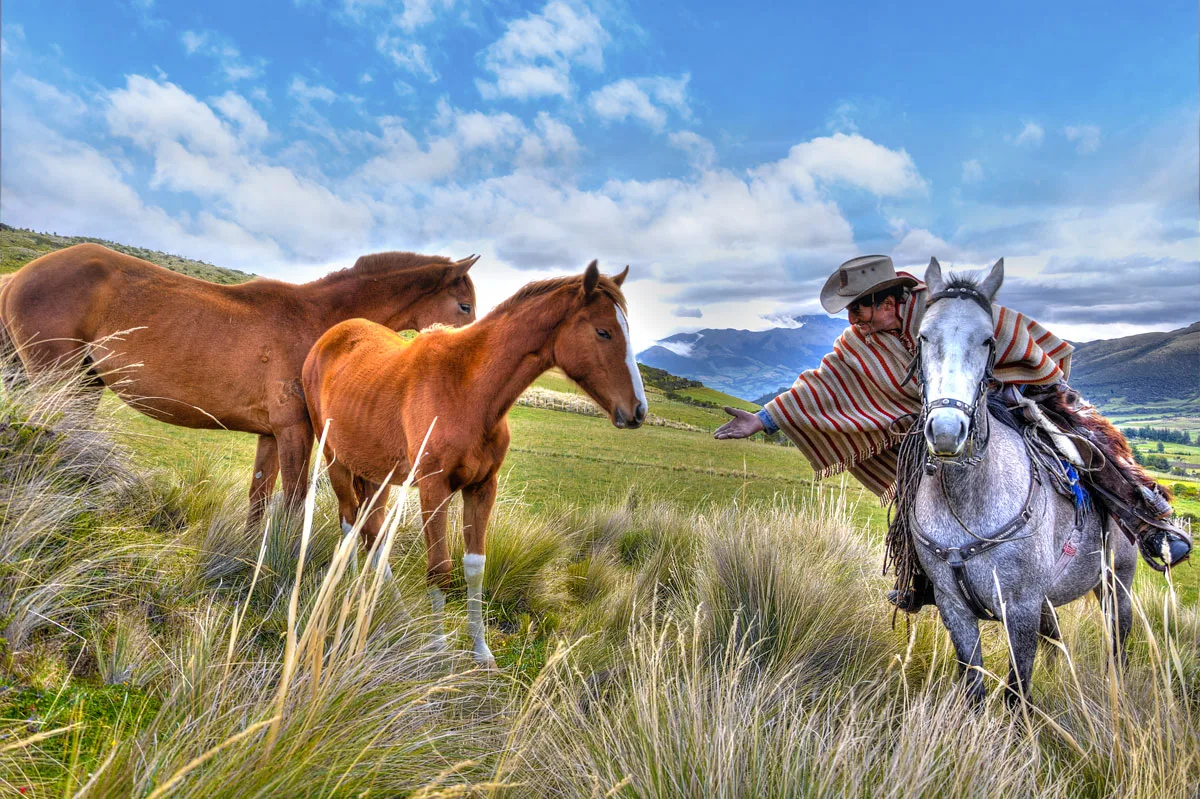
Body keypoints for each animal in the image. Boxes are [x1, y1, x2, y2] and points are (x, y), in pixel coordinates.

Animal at [0, 244, 477, 527]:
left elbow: (259, 500)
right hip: (58, 380)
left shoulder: (271, 434)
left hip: (82, 384)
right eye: (464, 305)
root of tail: (20, 274)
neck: (321, 324)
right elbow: (294, 502)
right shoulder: (295, 431)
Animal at [304, 257, 652, 662]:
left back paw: (392, 609)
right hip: (336, 460)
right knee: (349, 522)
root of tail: (330, 338)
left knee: (371, 531)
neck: (467, 389)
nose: (638, 411)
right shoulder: (434, 488)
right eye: (603, 332)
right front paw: (438, 647)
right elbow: (439, 568)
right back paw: (347, 593)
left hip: (377, 473)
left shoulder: (483, 487)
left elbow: (474, 567)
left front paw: (480, 649)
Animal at [912, 256, 1137, 705]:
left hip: (1116, 584)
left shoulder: (1020, 608)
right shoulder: (953, 607)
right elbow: (974, 685)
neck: (966, 501)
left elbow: (1017, 693)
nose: (945, 432)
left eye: (988, 340)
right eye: (924, 336)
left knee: (1117, 641)